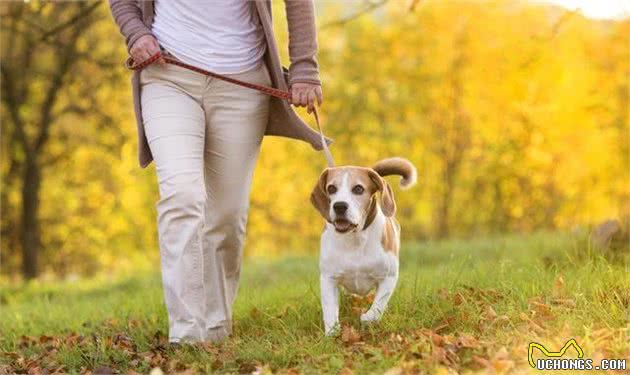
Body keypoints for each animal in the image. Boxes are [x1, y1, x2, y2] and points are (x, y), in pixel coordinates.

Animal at [312, 158, 420, 334]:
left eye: (358, 189)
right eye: (331, 188)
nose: (339, 206)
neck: (355, 238)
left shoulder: (389, 277)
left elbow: (379, 304)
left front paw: (368, 318)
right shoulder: (329, 278)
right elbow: (329, 309)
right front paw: (332, 332)